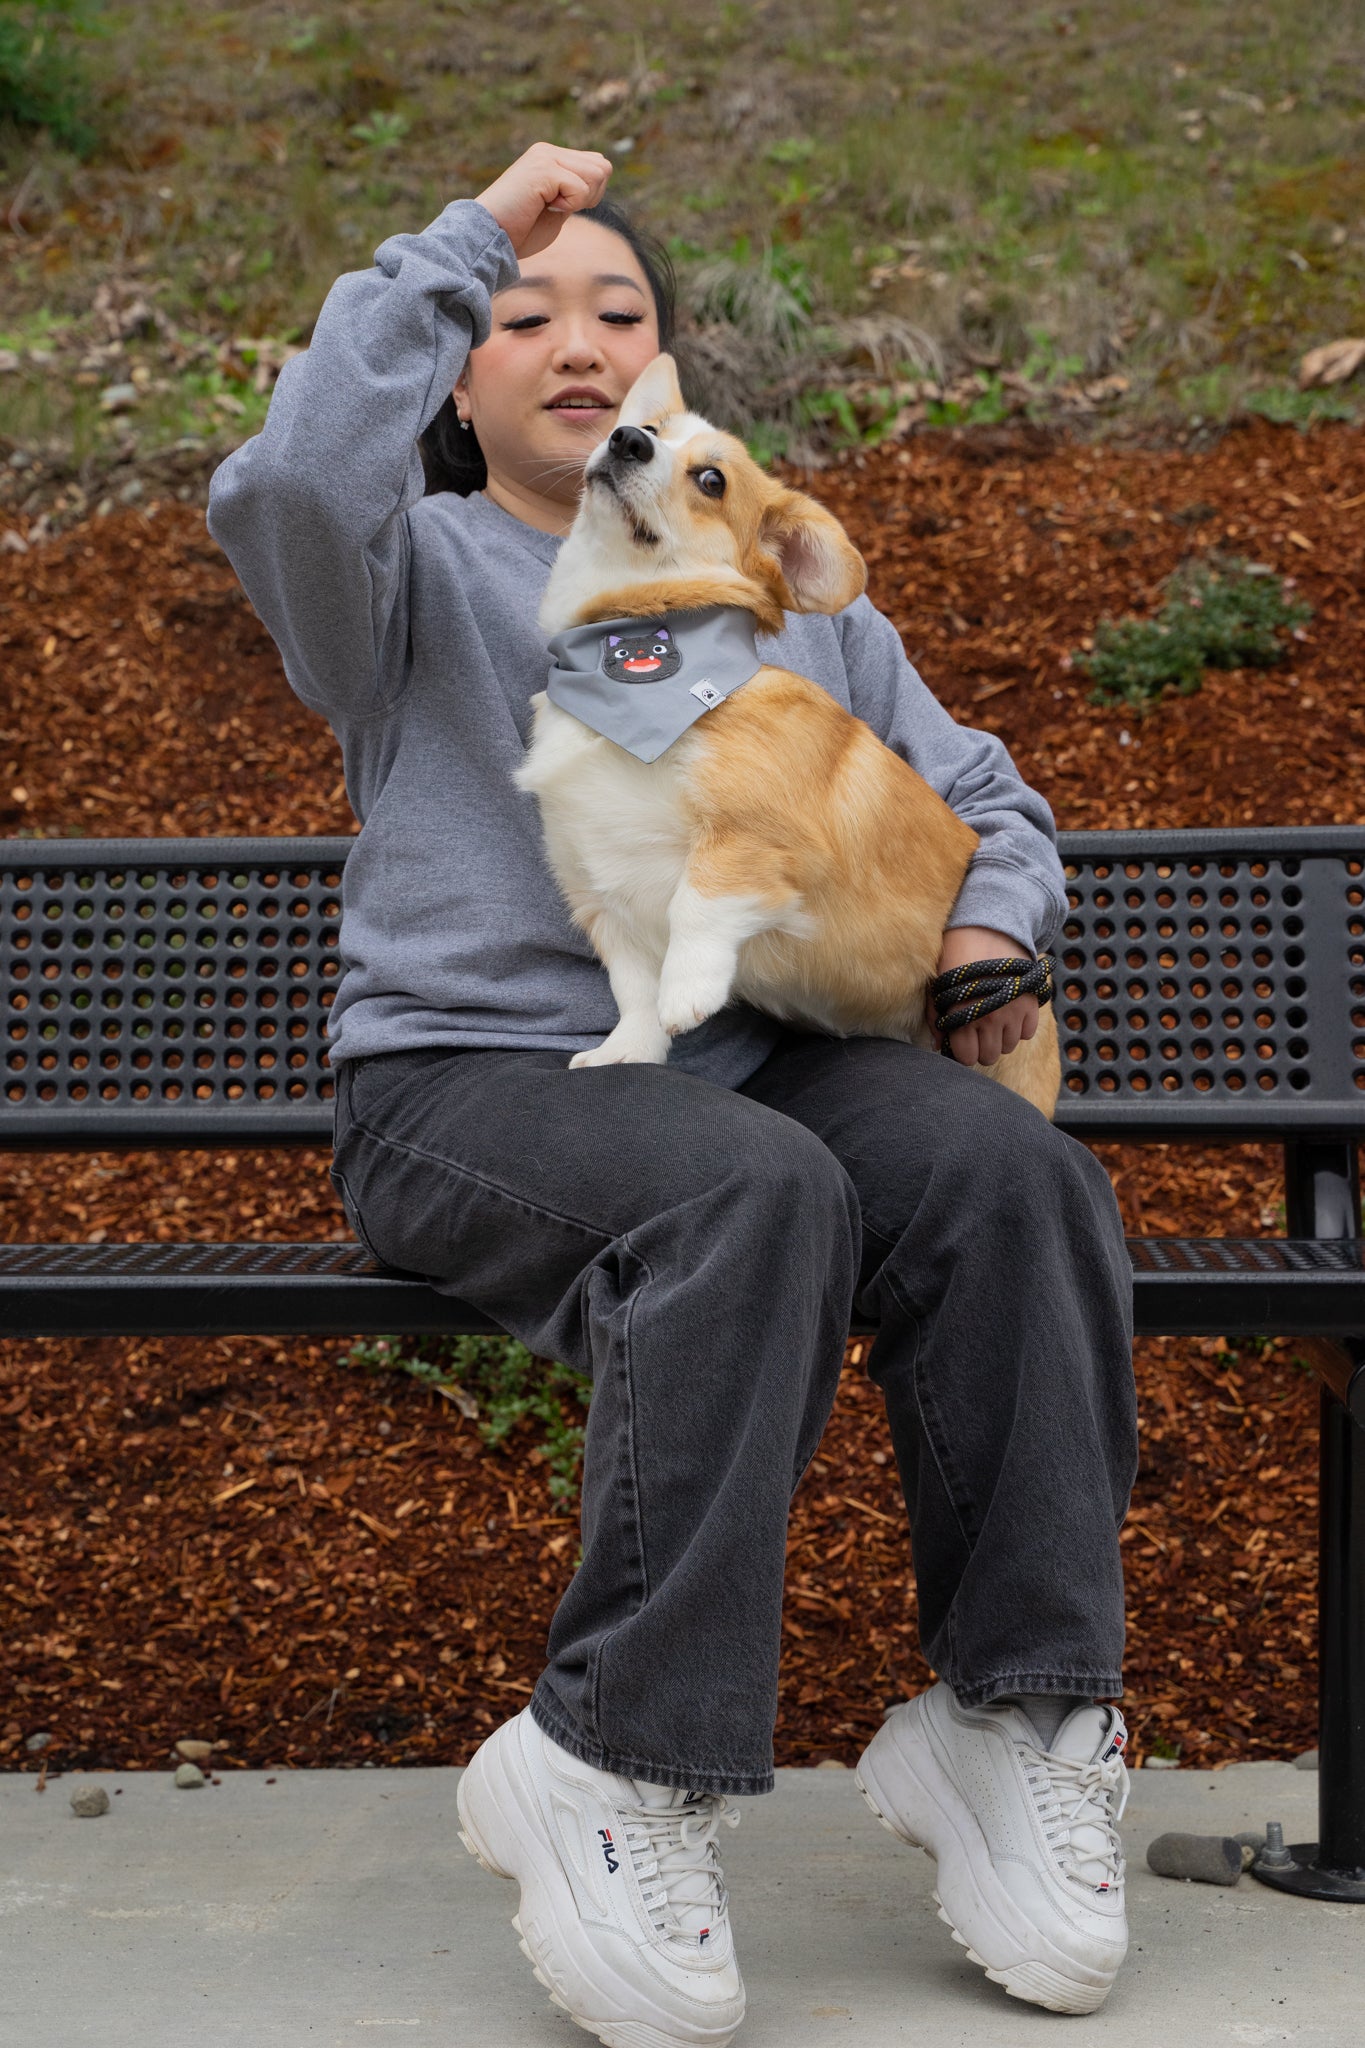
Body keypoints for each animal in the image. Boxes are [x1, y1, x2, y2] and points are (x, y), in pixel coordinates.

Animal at [517, 356, 1064, 1122]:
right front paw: (628, 1052)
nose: (626, 439)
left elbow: (695, 906)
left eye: (711, 480)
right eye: (652, 427)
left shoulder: (754, 836)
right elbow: (634, 993)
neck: (631, 670)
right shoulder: (602, 895)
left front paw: (689, 989)